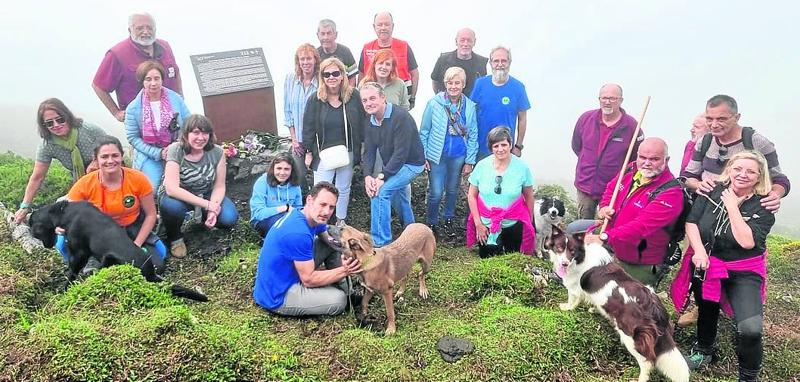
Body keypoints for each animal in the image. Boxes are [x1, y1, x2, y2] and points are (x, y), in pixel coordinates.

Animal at [30, 200, 208, 302]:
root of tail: (151, 274)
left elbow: (72, 273)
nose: (46, 246)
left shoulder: (80, 253)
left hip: (109, 259)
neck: (64, 212)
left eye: (35, 232)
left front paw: (65, 289)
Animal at [548, 225, 692, 382]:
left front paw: (567, 308)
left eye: (572, 251)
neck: (581, 258)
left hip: (631, 335)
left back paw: (641, 378)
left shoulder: (573, 287)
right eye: (559, 248)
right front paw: (594, 309)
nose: (564, 264)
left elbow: (572, 299)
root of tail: (654, 306)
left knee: (647, 360)